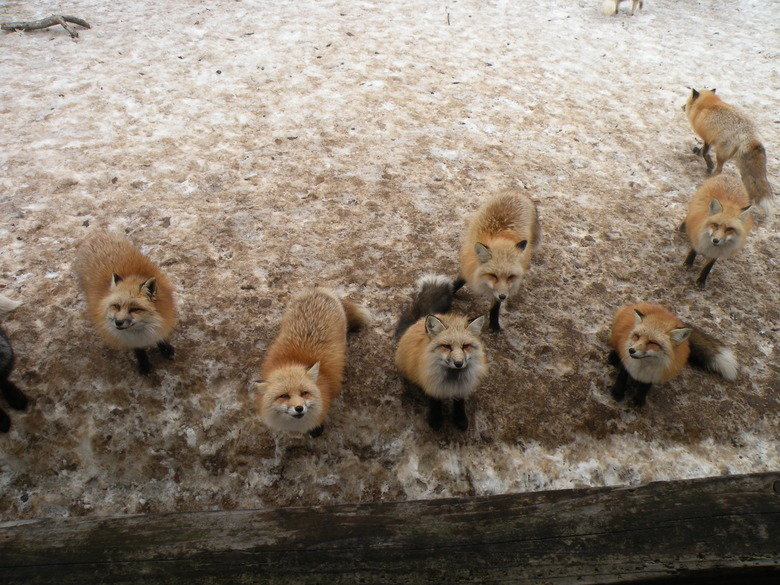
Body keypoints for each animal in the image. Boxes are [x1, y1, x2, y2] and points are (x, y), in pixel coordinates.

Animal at [74, 230, 177, 376]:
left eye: (134, 309)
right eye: (116, 306)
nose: (118, 322)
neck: (140, 332)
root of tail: (95, 234)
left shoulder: (164, 320)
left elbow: (161, 338)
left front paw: (166, 349)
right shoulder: (129, 339)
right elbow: (139, 352)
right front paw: (144, 365)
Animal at [255, 288, 369, 437]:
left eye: (304, 393)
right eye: (284, 396)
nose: (299, 408)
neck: (292, 361)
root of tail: (318, 289)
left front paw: (316, 430)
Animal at [396, 275, 486, 431]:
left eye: (465, 346)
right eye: (446, 346)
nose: (458, 363)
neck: (452, 379)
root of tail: (421, 319)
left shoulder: (462, 387)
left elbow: (459, 403)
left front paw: (460, 419)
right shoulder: (432, 383)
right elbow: (435, 402)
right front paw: (436, 419)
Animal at [455, 190, 539, 332]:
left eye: (510, 276)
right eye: (493, 275)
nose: (503, 297)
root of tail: (517, 193)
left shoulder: (502, 289)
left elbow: (495, 307)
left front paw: (494, 325)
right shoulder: (469, 266)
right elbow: (456, 283)